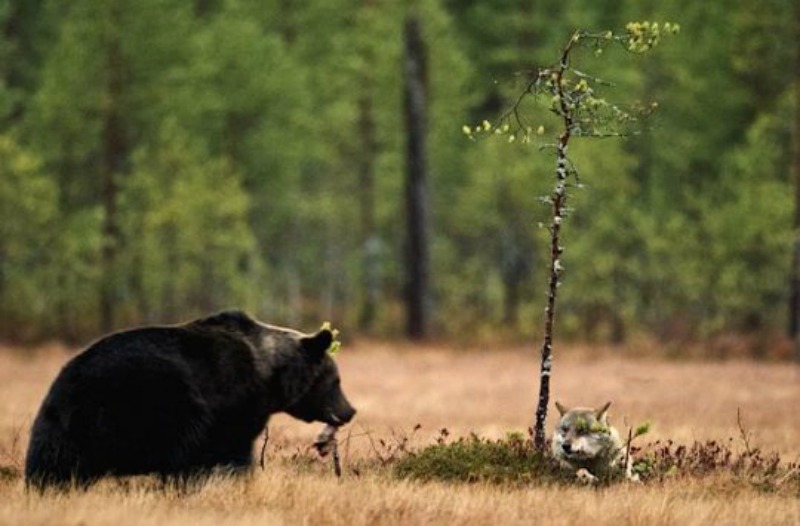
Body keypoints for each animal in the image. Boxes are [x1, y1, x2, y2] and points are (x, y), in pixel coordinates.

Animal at [25, 310, 356, 490]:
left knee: (51, 465)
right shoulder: (233, 399)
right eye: (336, 380)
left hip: (57, 425)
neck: (269, 374)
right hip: (156, 401)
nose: (349, 411)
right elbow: (233, 449)